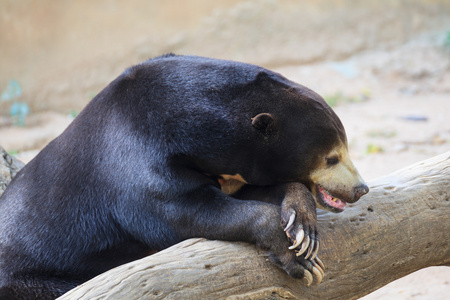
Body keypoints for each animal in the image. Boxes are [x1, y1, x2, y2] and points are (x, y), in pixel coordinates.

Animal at [0, 54, 368, 298]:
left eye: (344, 147)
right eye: (332, 157)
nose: (360, 188)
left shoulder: (230, 171)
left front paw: (302, 228)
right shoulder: (137, 161)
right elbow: (182, 212)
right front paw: (303, 263)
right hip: (32, 278)